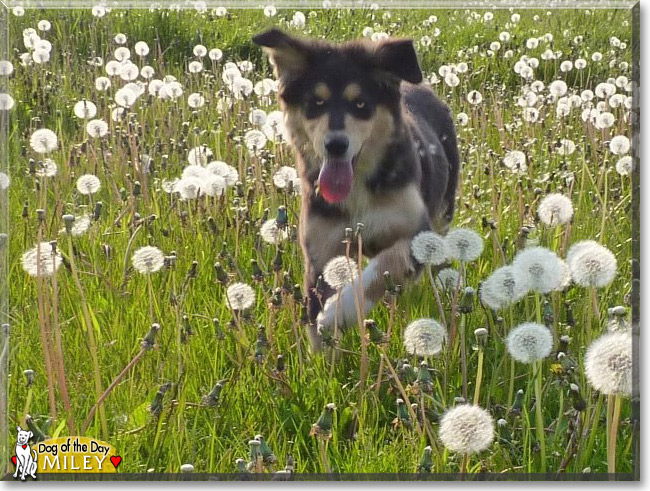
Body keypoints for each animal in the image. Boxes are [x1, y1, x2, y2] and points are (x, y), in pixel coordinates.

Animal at [251, 28, 458, 350]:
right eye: (316, 103)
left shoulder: (417, 232)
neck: (359, 190)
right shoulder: (320, 254)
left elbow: (385, 266)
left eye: (361, 105)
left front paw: (340, 310)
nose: (336, 145)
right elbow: (318, 327)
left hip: (442, 217)